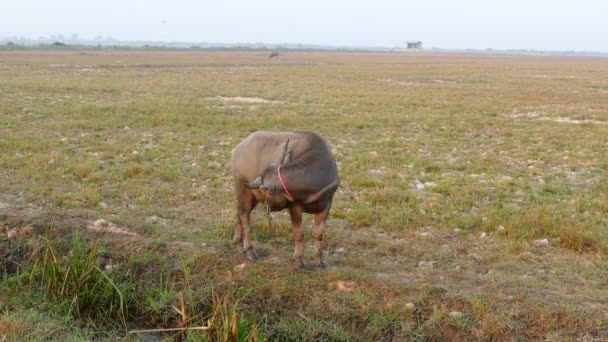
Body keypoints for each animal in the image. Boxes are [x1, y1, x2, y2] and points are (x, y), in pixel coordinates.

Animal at [230, 130, 340, 268]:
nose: (268, 206)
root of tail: (239, 149)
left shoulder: (327, 204)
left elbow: (318, 234)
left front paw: (318, 261)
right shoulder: (295, 206)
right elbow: (299, 234)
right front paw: (299, 260)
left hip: (251, 197)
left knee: (239, 214)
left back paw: (238, 246)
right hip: (243, 190)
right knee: (244, 217)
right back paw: (250, 250)